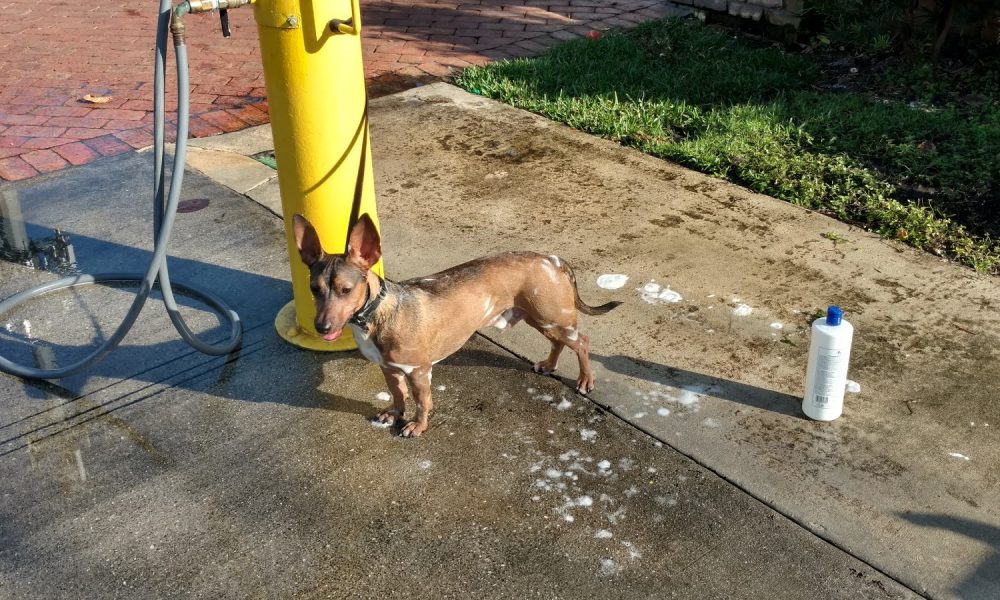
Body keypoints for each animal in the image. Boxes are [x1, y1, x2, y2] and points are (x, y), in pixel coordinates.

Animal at [292, 214, 616, 436]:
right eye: (314, 289)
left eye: (346, 290)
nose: (321, 327)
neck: (379, 313)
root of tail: (553, 259)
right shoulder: (389, 369)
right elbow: (398, 394)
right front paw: (394, 413)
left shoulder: (419, 372)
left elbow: (422, 402)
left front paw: (417, 425)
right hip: (541, 319)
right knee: (559, 342)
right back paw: (549, 365)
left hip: (552, 317)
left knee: (581, 342)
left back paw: (585, 380)